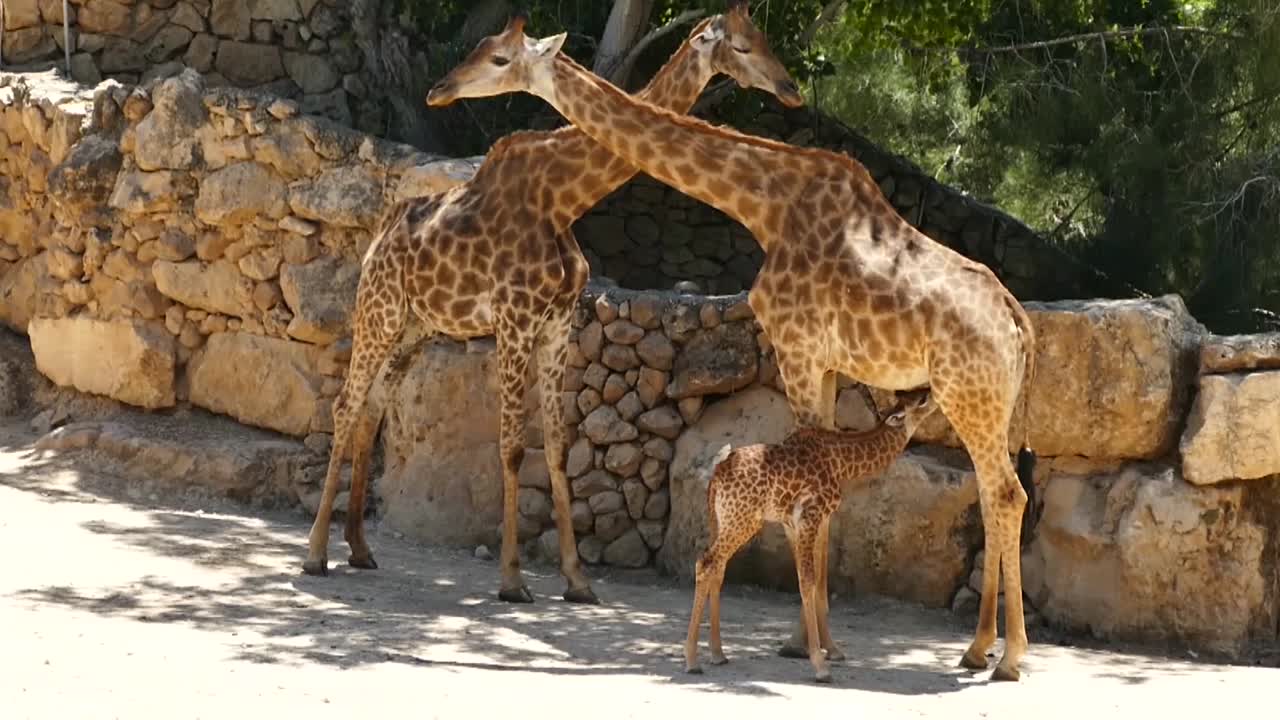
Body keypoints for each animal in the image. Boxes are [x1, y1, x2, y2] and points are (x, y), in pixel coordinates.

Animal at [302, 4, 798, 604]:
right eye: (743, 47)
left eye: (761, 41)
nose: (790, 89)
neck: (563, 199)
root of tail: (378, 237)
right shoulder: (514, 321)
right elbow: (514, 447)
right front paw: (513, 580)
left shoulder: (559, 324)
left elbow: (559, 449)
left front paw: (578, 581)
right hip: (379, 312)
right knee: (345, 405)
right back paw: (315, 555)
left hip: (415, 329)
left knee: (373, 408)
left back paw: (359, 547)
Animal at [680, 386, 942, 676]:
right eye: (922, 399)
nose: (935, 393)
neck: (841, 463)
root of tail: (716, 477)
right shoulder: (810, 517)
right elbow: (808, 581)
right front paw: (820, 665)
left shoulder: (793, 524)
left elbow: (814, 581)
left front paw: (830, 651)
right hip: (742, 519)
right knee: (706, 562)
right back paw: (691, 660)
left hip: (722, 520)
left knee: (718, 568)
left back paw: (717, 654)